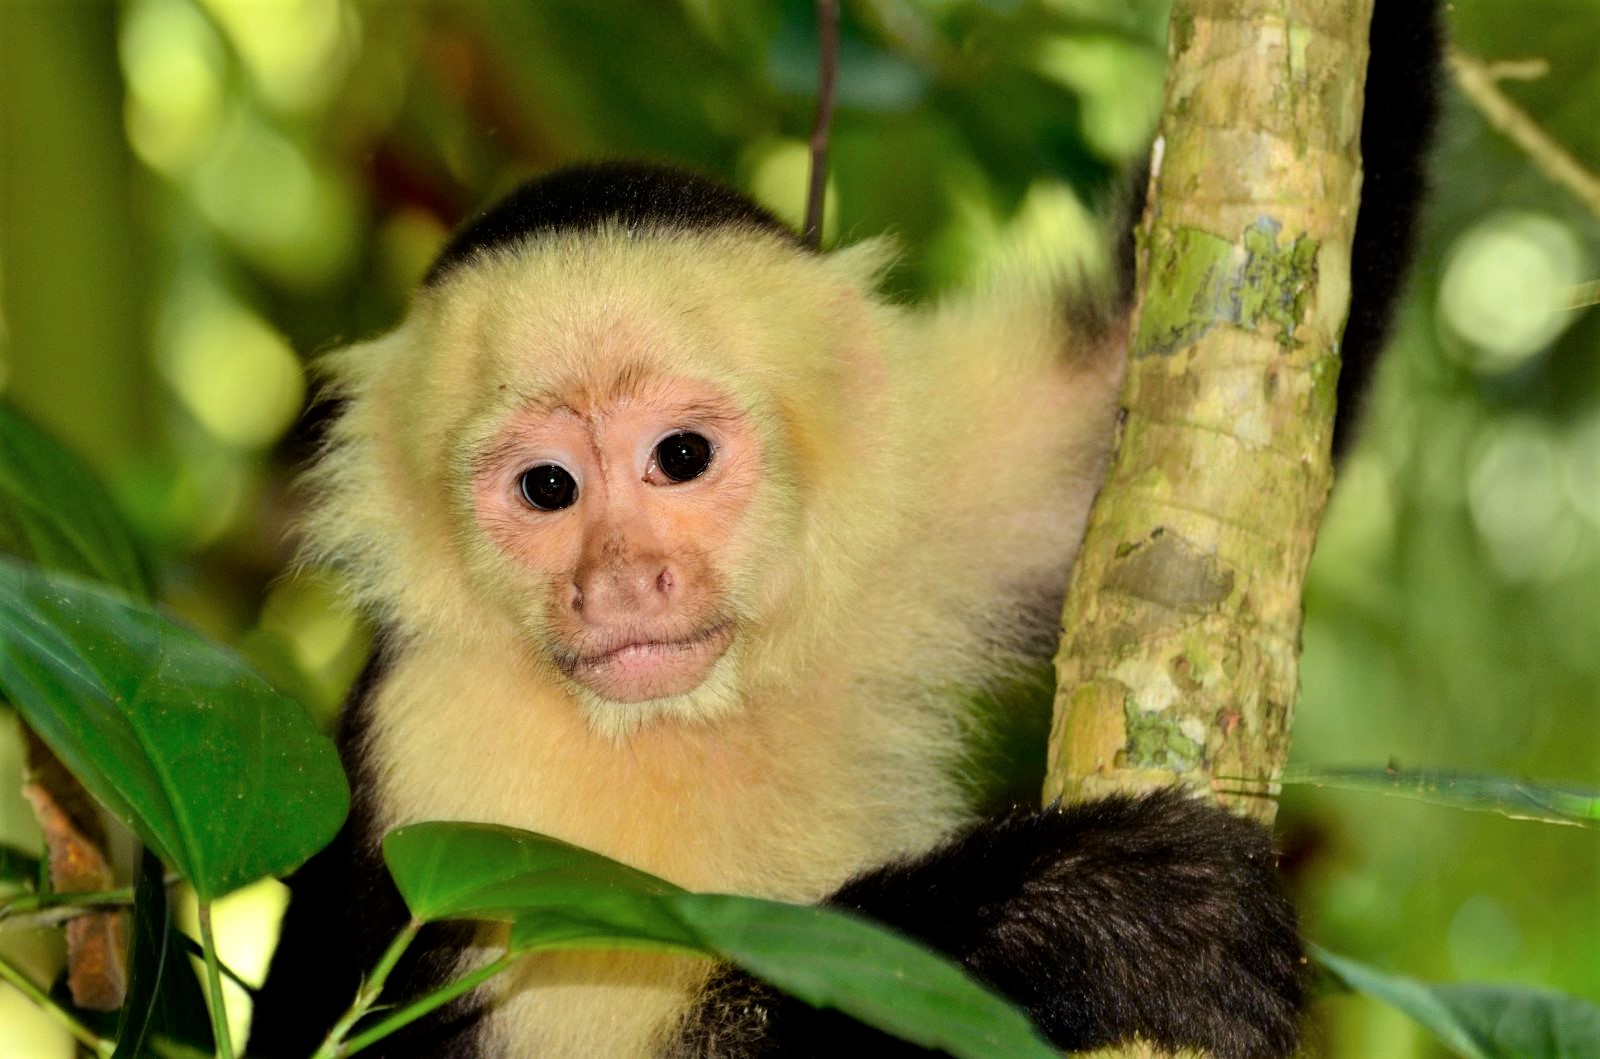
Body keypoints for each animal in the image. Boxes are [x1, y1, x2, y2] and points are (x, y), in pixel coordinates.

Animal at [253, 4, 1440, 1056]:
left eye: (679, 458)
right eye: (547, 488)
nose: (622, 583)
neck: (693, 719)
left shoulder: (927, 494)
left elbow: (1134, 379)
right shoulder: (451, 762)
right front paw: (1092, 910)